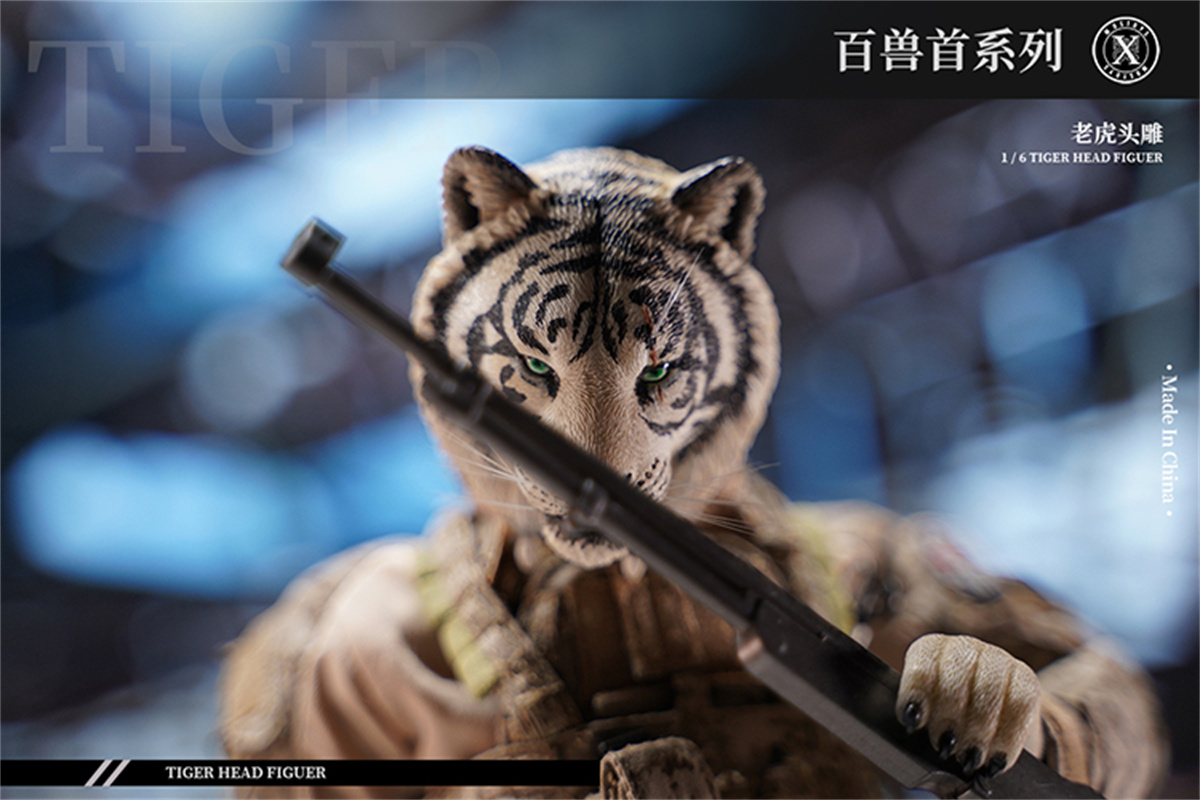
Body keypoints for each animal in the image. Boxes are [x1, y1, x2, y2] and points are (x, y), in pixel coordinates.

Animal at [219, 146, 1168, 799]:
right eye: (531, 370)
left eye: (660, 375)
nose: (590, 486)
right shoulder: (344, 638)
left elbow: (1080, 654)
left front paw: (980, 682)